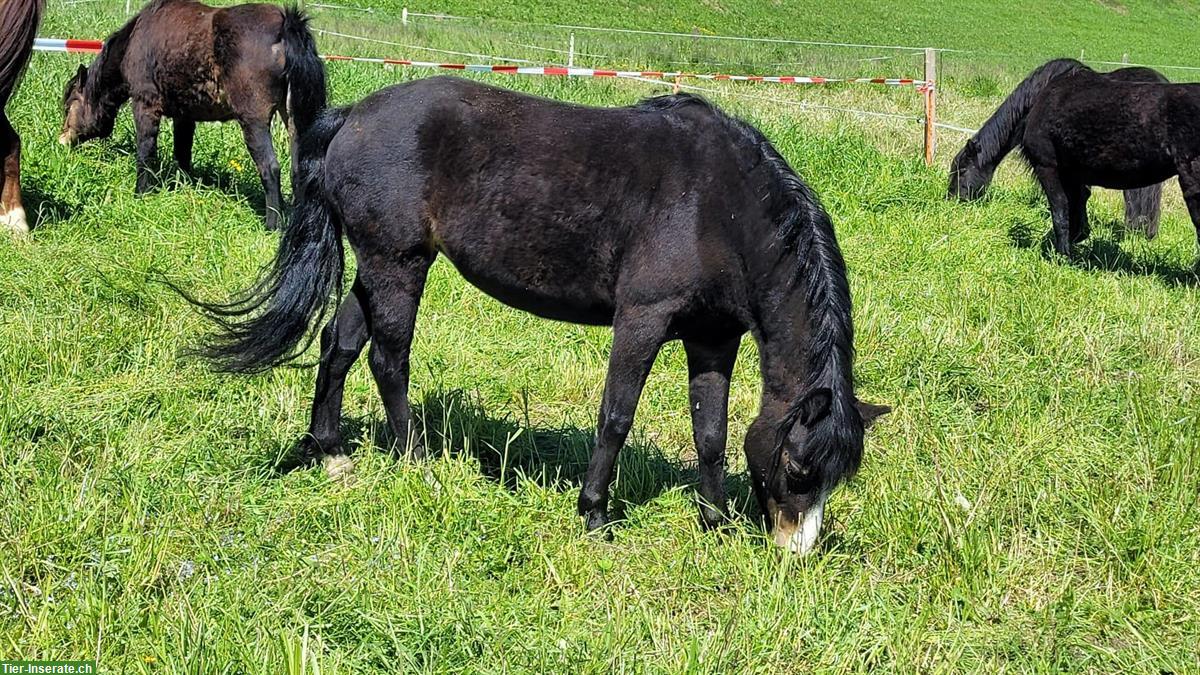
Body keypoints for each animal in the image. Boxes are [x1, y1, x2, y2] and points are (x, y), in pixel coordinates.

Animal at [58, 0, 326, 228]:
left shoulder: (145, 104)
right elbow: (183, 154)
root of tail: (284, 25)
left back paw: (273, 224)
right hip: (294, 120)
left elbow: (146, 151)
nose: (62, 140)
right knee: (298, 168)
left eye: (69, 105)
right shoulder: (184, 116)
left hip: (254, 121)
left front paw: (141, 192)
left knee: (270, 168)